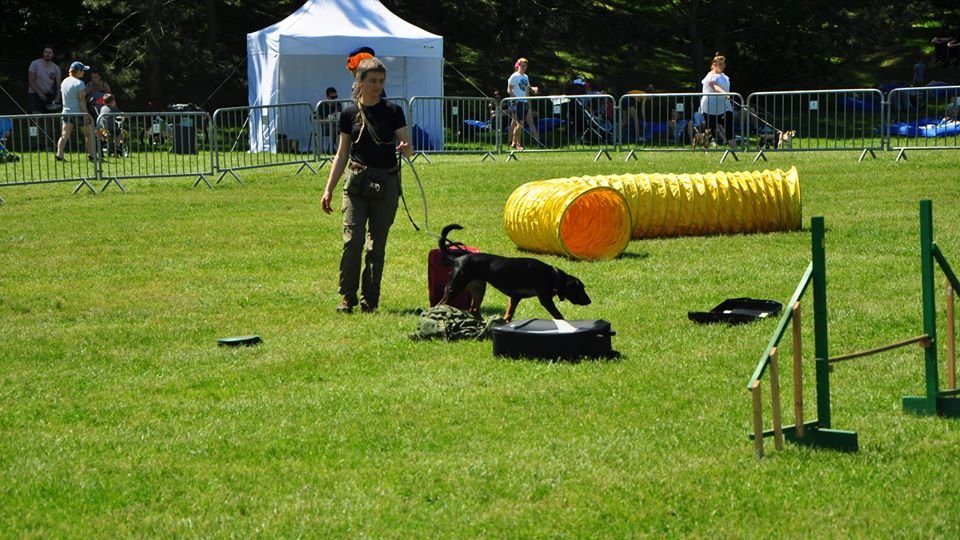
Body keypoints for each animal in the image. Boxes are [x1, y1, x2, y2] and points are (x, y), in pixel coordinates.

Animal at [436, 224, 588, 320]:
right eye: (579, 289)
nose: (589, 301)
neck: (552, 275)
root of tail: (458, 259)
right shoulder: (545, 300)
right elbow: (558, 315)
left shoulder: (515, 298)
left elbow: (508, 315)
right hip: (454, 288)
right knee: (440, 305)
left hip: (478, 287)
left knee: (473, 309)